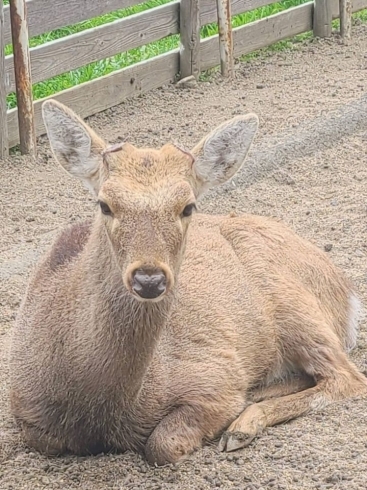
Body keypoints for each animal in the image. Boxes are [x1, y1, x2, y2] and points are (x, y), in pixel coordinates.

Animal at [9, 100, 367, 468]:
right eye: (105, 204)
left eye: (188, 206)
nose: (149, 278)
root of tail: (347, 293)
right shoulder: (23, 406)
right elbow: (46, 440)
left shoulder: (214, 377)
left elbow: (162, 444)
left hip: (295, 307)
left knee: (346, 377)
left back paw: (241, 425)